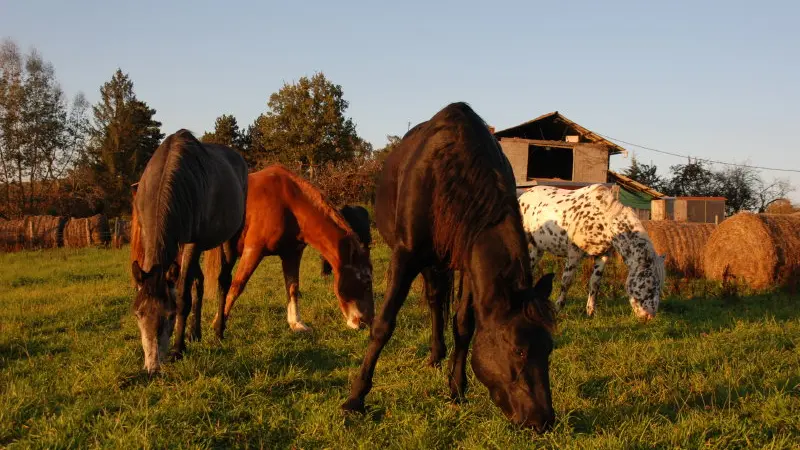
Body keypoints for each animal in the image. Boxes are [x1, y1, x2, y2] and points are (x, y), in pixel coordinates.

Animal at [130, 129, 247, 372]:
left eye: (170, 316)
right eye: (138, 314)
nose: (153, 367)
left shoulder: (193, 243)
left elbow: (184, 295)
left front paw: (177, 349)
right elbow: (190, 286)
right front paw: (187, 338)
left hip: (229, 238)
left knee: (223, 281)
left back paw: (218, 331)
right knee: (199, 282)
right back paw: (195, 332)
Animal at [203, 163, 372, 336]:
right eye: (367, 282)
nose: (364, 323)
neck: (288, 204)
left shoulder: (292, 254)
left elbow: (292, 287)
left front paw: (296, 323)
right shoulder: (253, 250)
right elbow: (237, 286)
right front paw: (217, 324)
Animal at [342, 103, 556, 432]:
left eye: (549, 349)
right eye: (518, 349)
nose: (543, 420)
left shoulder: (468, 263)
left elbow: (464, 324)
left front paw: (456, 388)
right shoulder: (406, 255)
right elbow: (383, 325)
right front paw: (355, 399)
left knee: (437, 299)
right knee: (433, 299)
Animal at [516, 183, 664, 320]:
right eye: (650, 286)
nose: (649, 316)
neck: (604, 218)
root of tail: (523, 195)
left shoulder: (602, 255)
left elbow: (595, 282)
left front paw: (591, 311)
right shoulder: (574, 253)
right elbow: (566, 281)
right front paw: (557, 309)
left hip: (537, 248)